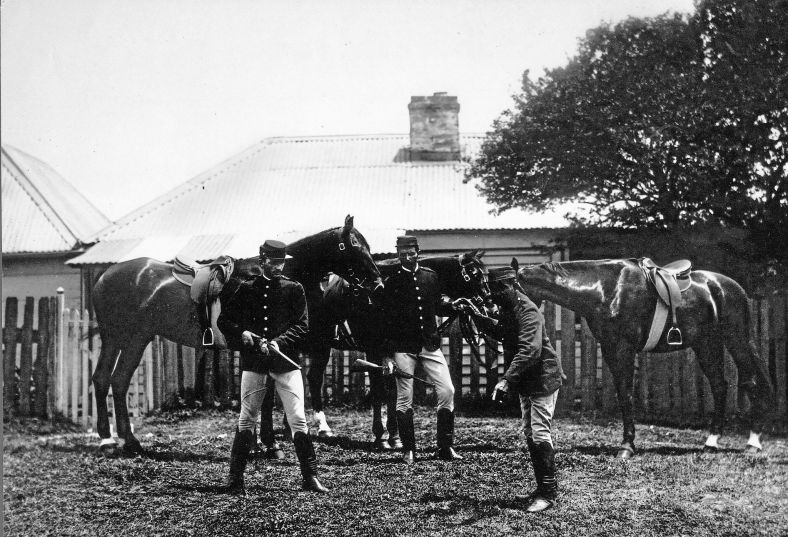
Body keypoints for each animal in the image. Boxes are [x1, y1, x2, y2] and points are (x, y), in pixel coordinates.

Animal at [91, 216, 382, 454]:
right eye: (353, 245)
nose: (377, 284)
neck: (275, 279)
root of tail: (105, 276)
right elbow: (264, 397)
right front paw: (265, 442)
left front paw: (260, 441)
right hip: (132, 339)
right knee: (116, 380)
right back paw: (120, 441)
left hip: (120, 339)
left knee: (106, 379)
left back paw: (115, 439)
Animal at [298, 251, 490, 448]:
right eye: (474, 274)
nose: (490, 304)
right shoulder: (373, 350)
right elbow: (378, 391)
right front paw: (380, 436)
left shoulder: (392, 350)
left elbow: (392, 392)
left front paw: (395, 436)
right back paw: (321, 427)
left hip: (321, 346)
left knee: (312, 378)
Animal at [510, 258, 776, 458]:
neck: (605, 288)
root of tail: (730, 287)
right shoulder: (610, 349)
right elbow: (623, 394)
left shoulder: (622, 349)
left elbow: (627, 395)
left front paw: (627, 447)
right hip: (706, 344)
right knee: (720, 386)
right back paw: (711, 442)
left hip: (737, 340)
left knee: (752, 382)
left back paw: (753, 443)